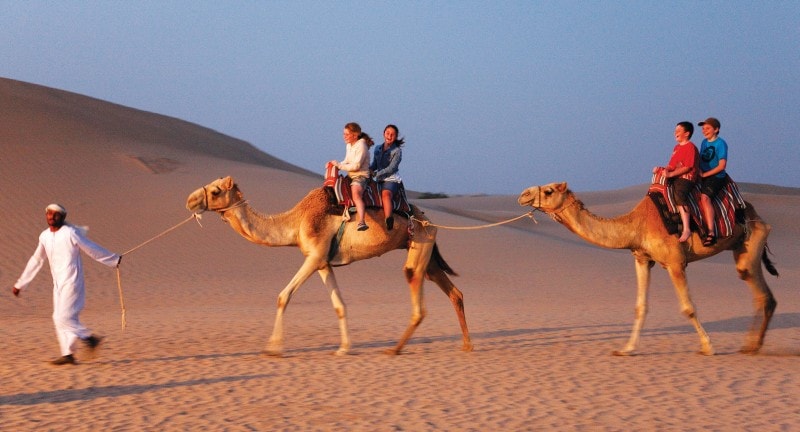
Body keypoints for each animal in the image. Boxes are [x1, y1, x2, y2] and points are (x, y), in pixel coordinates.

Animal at [184, 174, 472, 356]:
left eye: (215, 191)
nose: (190, 200)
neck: (296, 221)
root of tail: (429, 220)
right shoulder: (323, 262)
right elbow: (339, 305)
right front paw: (344, 348)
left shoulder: (313, 256)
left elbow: (283, 296)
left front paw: (273, 348)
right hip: (426, 251)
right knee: (454, 292)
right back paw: (467, 345)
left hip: (420, 241)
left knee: (417, 297)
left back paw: (395, 349)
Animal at [516, 182, 780, 354]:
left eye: (548, 190)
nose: (523, 194)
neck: (636, 226)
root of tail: (758, 215)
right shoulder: (642, 259)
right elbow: (640, 307)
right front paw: (626, 348)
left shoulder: (675, 262)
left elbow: (688, 308)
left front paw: (707, 346)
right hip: (742, 246)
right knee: (761, 294)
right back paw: (751, 345)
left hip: (752, 239)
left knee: (759, 290)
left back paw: (752, 345)